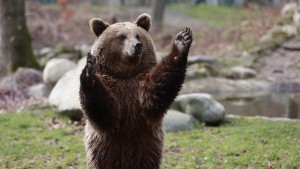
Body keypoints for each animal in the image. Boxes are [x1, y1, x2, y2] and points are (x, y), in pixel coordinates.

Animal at [79, 13, 192, 169]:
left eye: (138, 35)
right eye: (122, 36)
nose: (137, 46)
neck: (126, 75)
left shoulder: (140, 89)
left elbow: (157, 91)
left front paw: (182, 42)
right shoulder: (114, 90)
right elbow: (104, 110)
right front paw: (89, 70)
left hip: (146, 153)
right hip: (103, 154)